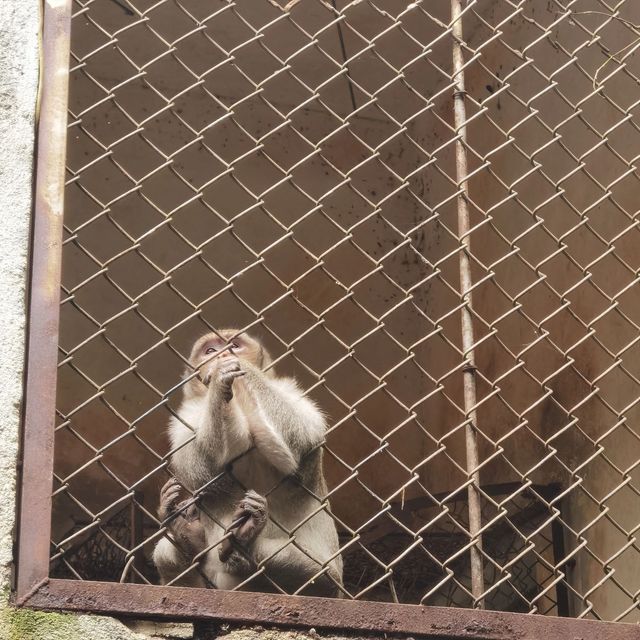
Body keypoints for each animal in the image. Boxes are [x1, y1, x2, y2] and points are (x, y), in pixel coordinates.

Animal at [152, 330, 342, 596]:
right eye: (209, 351)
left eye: (234, 345)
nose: (220, 354)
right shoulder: (187, 417)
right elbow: (204, 469)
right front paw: (221, 383)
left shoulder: (291, 393)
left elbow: (299, 442)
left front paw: (237, 366)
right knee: (165, 554)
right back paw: (187, 535)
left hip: (328, 579)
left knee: (316, 575)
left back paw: (245, 541)